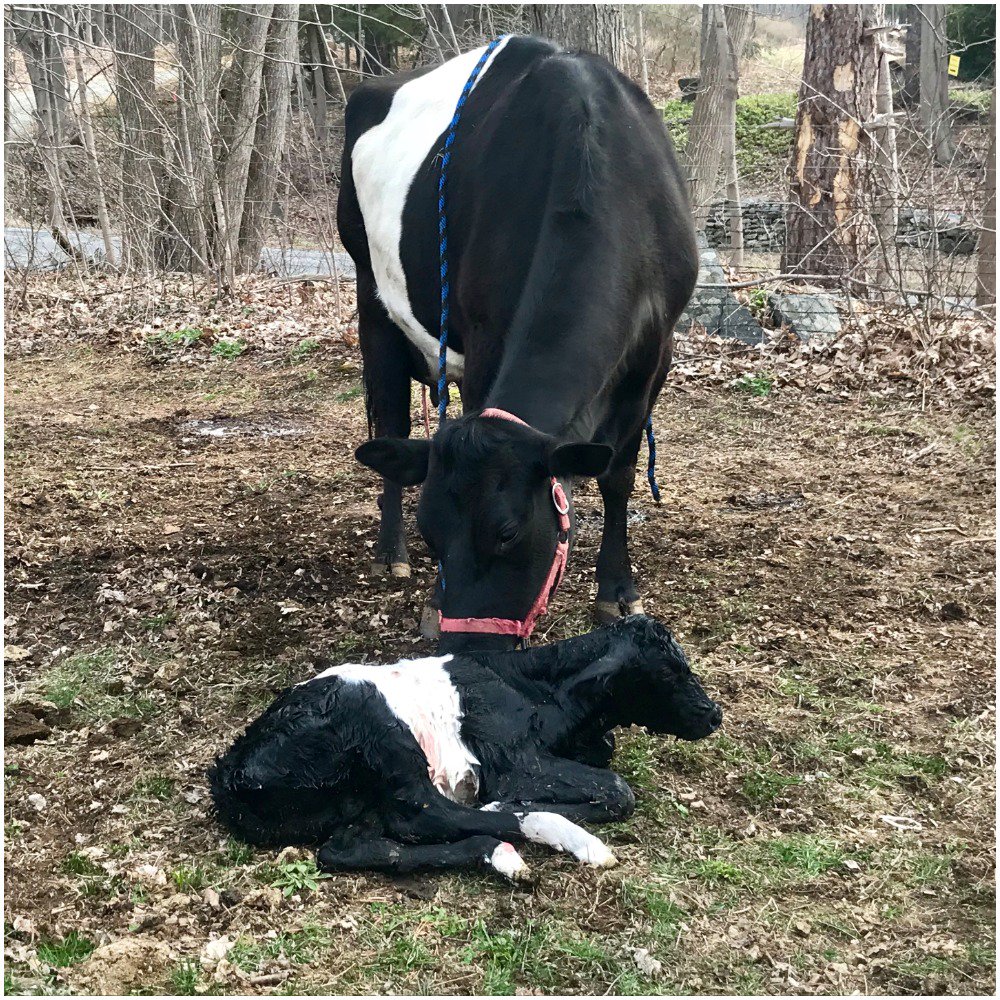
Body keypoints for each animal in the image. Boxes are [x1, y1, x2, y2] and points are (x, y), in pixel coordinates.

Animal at [209, 616, 722, 880]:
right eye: (670, 669)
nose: (714, 713)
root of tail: (231, 772)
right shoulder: (514, 762)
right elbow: (617, 789)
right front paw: (513, 804)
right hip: (380, 732)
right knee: (423, 816)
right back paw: (561, 839)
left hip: (357, 802)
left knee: (355, 848)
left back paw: (495, 852)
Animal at [338, 35, 698, 653]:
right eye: (431, 532)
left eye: (507, 531)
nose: (465, 649)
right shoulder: (486, 335)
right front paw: (431, 598)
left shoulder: (656, 354)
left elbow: (619, 475)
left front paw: (617, 590)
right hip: (371, 293)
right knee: (391, 423)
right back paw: (390, 553)